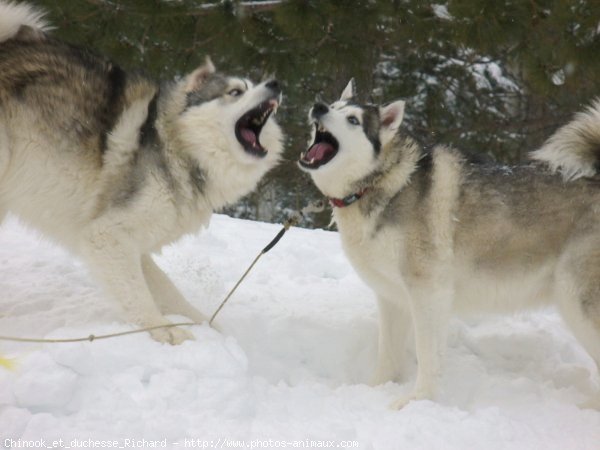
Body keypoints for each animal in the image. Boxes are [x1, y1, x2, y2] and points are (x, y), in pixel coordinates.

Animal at [0, 1, 284, 344]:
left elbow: (166, 289)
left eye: (254, 86)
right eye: (235, 92)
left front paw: (206, 328)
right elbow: (140, 297)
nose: (276, 84)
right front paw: (167, 332)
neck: (176, 146)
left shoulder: (133, 241)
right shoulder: (106, 235)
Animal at [298, 79, 600, 410]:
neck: (378, 184)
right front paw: (374, 389)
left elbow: (427, 355)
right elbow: (388, 353)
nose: (319, 106)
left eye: (353, 120)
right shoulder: (392, 297)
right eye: (335, 106)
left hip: (578, 303)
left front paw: (417, 401)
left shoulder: (429, 292)